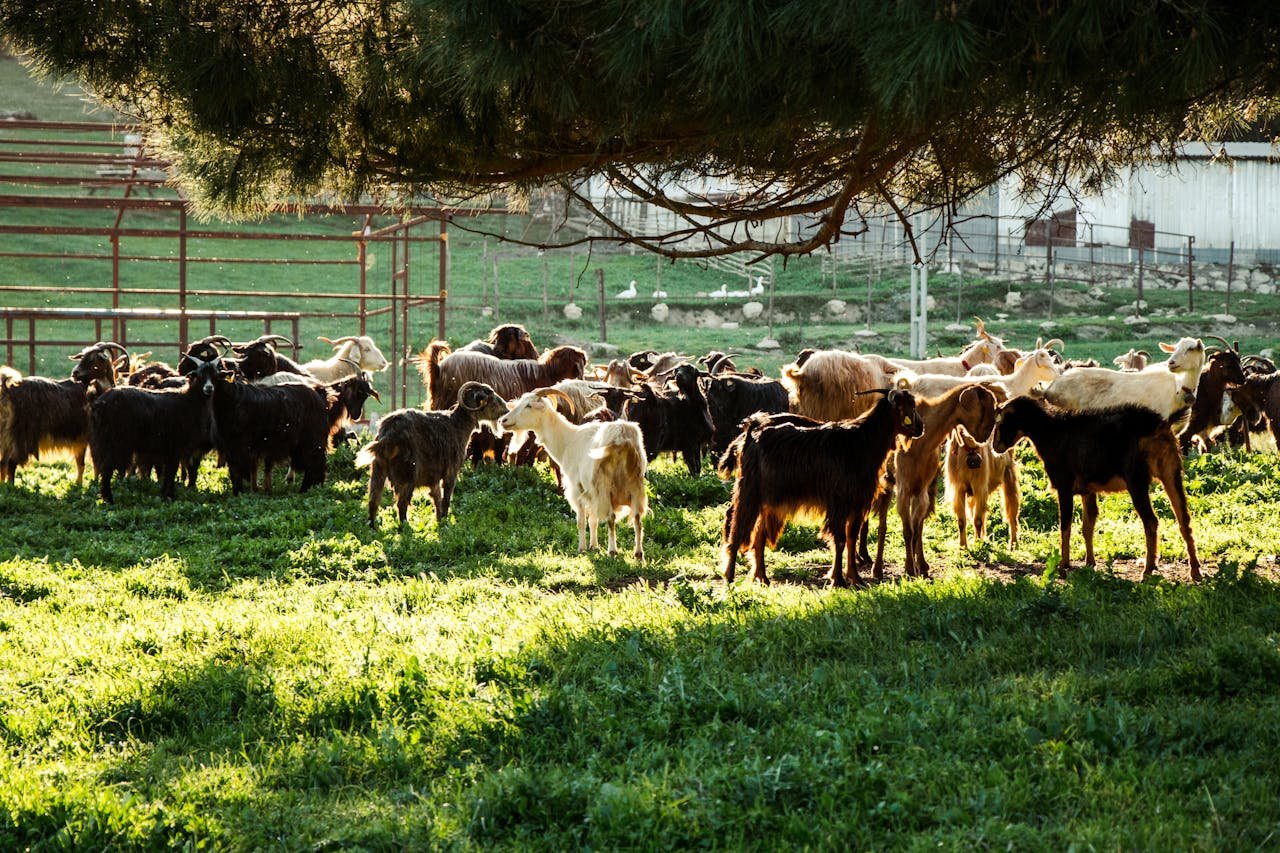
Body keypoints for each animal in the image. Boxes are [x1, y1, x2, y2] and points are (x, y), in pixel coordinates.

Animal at [88, 355, 223, 503]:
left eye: (215, 375)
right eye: (199, 375)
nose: (209, 388)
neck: (190, 400)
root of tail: (100, 403)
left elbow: (168, 471)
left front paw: (164, 493)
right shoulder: (175, 445)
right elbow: (171, 470)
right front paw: (170, 495)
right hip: (114, 443)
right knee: (106, 469)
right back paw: (109, 500)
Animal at [357, 381, 508, 527]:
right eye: (489, 393)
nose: (506, 409)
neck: (457, 424)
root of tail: (387, 435)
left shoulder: (434, 477)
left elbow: (437, 499)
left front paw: (439, 520)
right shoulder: (451, 471)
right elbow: (446, 498)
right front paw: (445, 520)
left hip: (378, 470)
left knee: (373, 501)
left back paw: (372, 527)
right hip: (407, 474)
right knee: (401, 504)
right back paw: (405, 527)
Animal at [500, 387, 648, 560]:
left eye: (529, 405)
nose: (503, 420)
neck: (568, 440)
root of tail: (622, 438)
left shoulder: (577, 488)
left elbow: (581, 521)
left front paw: (582, 548)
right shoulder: (591, 492)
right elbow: (593, 520)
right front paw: (594, 546)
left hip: (606, 485)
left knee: (611, 518)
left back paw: (612, 551)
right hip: (635, 485)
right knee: (638, 519)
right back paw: (638, 554)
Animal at [721, 390, 924, 587]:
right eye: (911, 406)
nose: (921, 428)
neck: (861, 441)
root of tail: (752, 431)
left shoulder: (857, 503)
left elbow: (851, 538)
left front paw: (855, 578)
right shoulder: (839, 502)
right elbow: (839, 540)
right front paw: (838, 579)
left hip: (768, 500)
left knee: (758, 535)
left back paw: (762, 577)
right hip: (749, 491)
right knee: (736, 528)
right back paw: (729, 577)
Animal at [991, 398, 1201, 580]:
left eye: (1002, 421)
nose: (995, 446)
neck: (1052, 431)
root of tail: (1159, 425)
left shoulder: (1065, 486)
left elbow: (1065, 525)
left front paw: (1063, 566)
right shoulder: (1088, 491)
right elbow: (1088, 526)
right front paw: (1090, 563)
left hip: (1137, 480)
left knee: (1151, 522)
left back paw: (1148, 571)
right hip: (1171, 473)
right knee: (1184, 520)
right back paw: (1195, 571)